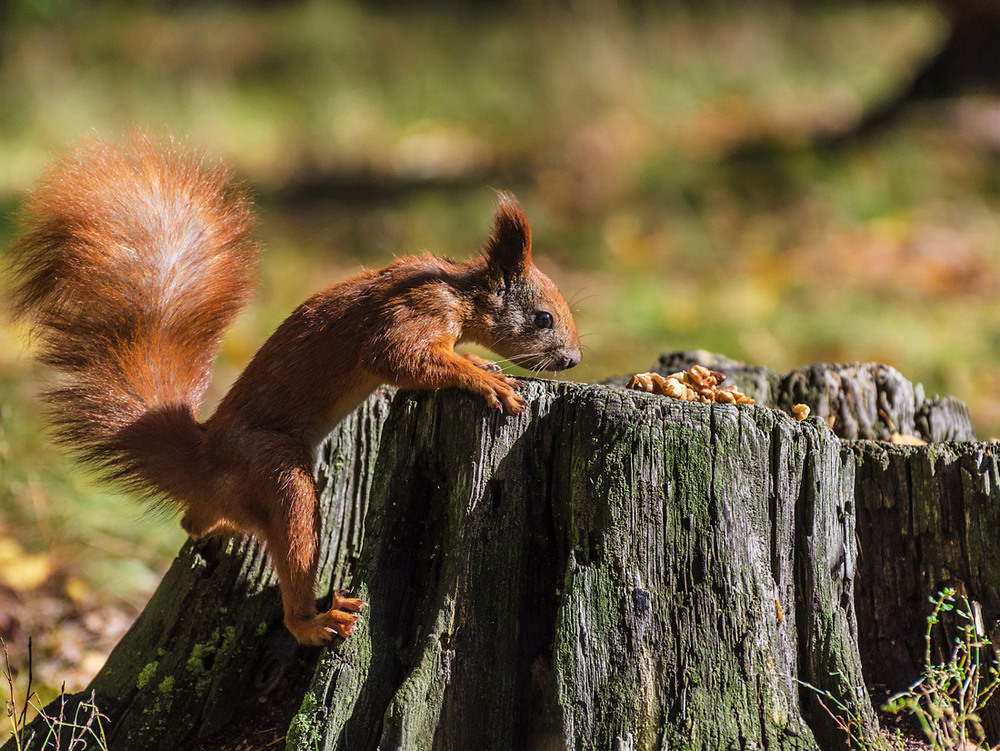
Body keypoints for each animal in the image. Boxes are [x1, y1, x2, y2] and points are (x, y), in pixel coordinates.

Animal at [7, 131, 584, 648]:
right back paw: (310, 621)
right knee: (289, 534)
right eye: (544, 318)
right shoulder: (410, 315)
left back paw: (217, 529)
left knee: (193, 520)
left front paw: (478, 362)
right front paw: (486, 379)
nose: (574, 360)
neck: (457, 292)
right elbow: (397, 358)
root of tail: (205, 459)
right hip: (274, 474)